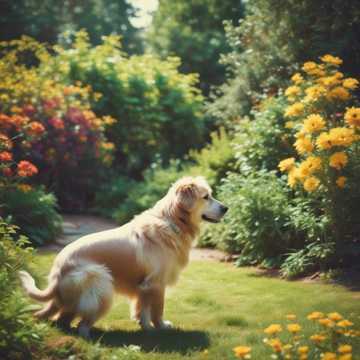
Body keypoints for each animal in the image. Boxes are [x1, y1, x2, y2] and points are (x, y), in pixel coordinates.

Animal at [18, 177, 226, 338]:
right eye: (206, 197)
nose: (226, 208)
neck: (172, 221)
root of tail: (56, 274)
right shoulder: (157, 283)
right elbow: (157, 309)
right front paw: (160, 327)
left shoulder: (144, 285)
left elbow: (142, 309)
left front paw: (145, 328)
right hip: (100, 282)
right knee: (81, 324)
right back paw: (90, 338)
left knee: (62, 320)